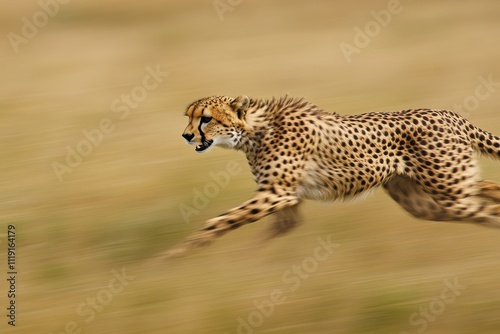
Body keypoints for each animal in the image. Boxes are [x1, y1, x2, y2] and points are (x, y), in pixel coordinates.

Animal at [166, 95, 500, 258]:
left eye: (206, 119)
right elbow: (270, 230)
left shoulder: (276, 194)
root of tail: (449, 114)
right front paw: (244, 262)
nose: (185, 136)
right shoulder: (285, 201)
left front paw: (176, 256)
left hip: (449, 188)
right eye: (189, 117)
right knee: (486, 194)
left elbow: (217, 222)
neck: (253, 130)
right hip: (426, 201)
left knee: (487, 196)